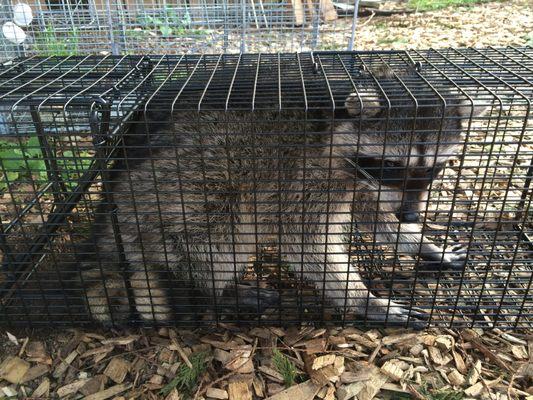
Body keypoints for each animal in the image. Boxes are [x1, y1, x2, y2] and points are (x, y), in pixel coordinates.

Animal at [82, 65, 486, 326]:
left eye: (433, 169)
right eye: (392, 164)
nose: (412, 216)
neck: (333, 121)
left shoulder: (358, 181)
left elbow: (374, 217)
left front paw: (420, 243)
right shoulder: (302, 176)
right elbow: (305, 242)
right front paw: (361, 298)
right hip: (170, 187)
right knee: (217, 232)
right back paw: (215, 289)